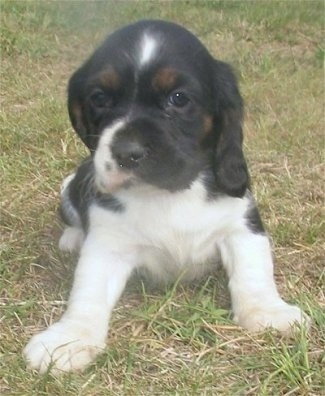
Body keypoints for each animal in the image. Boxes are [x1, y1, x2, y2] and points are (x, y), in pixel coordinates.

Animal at [24, 20, 308, 372]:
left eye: (178, 98)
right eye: (99, 98)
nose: (127, 152)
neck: (169, 192)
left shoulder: (241, 225)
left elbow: (253, 272)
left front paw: (268, 312)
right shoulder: (108, 245)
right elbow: (88, 291)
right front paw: (70, 337)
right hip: (69, 186)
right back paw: (72, 237)